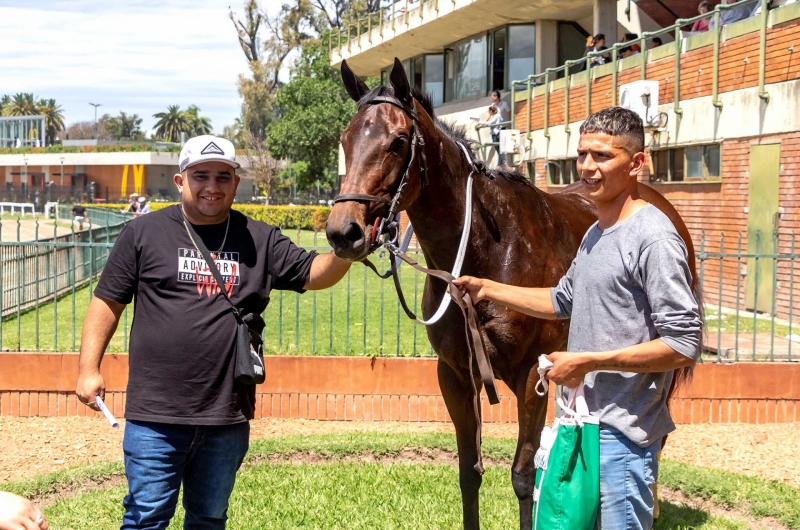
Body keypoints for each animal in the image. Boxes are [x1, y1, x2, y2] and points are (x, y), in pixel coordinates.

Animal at [326, 55, 700, 524]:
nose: (343, 232)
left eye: (397, 141)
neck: (490, 247)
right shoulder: (454, 374)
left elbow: (524, 476)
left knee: (654, 432)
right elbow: (469, 472)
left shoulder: (532, 375)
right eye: (346, 140)